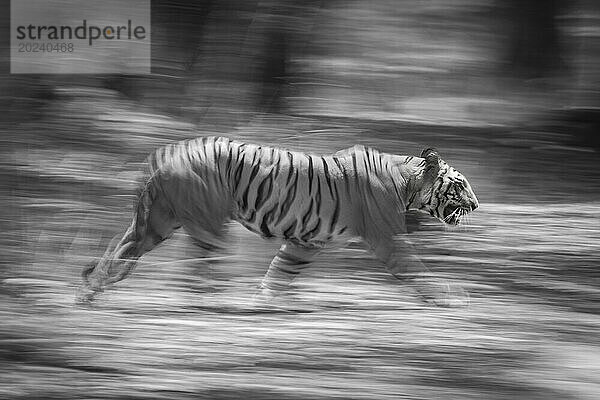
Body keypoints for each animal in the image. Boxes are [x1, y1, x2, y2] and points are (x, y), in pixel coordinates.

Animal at [79, 137, 480, 306]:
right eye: (460, 185)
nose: (476, 205)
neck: (408, 180)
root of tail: (164, 152)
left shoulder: (305, 243)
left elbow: (280, 272)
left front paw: (264, 301)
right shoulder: (388, 239)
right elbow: (417, 270)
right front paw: (450, 297)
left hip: (156, 223)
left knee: (121, 250)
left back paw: (91, 290)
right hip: (205, 225)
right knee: (199, 269)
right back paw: (211, 302)